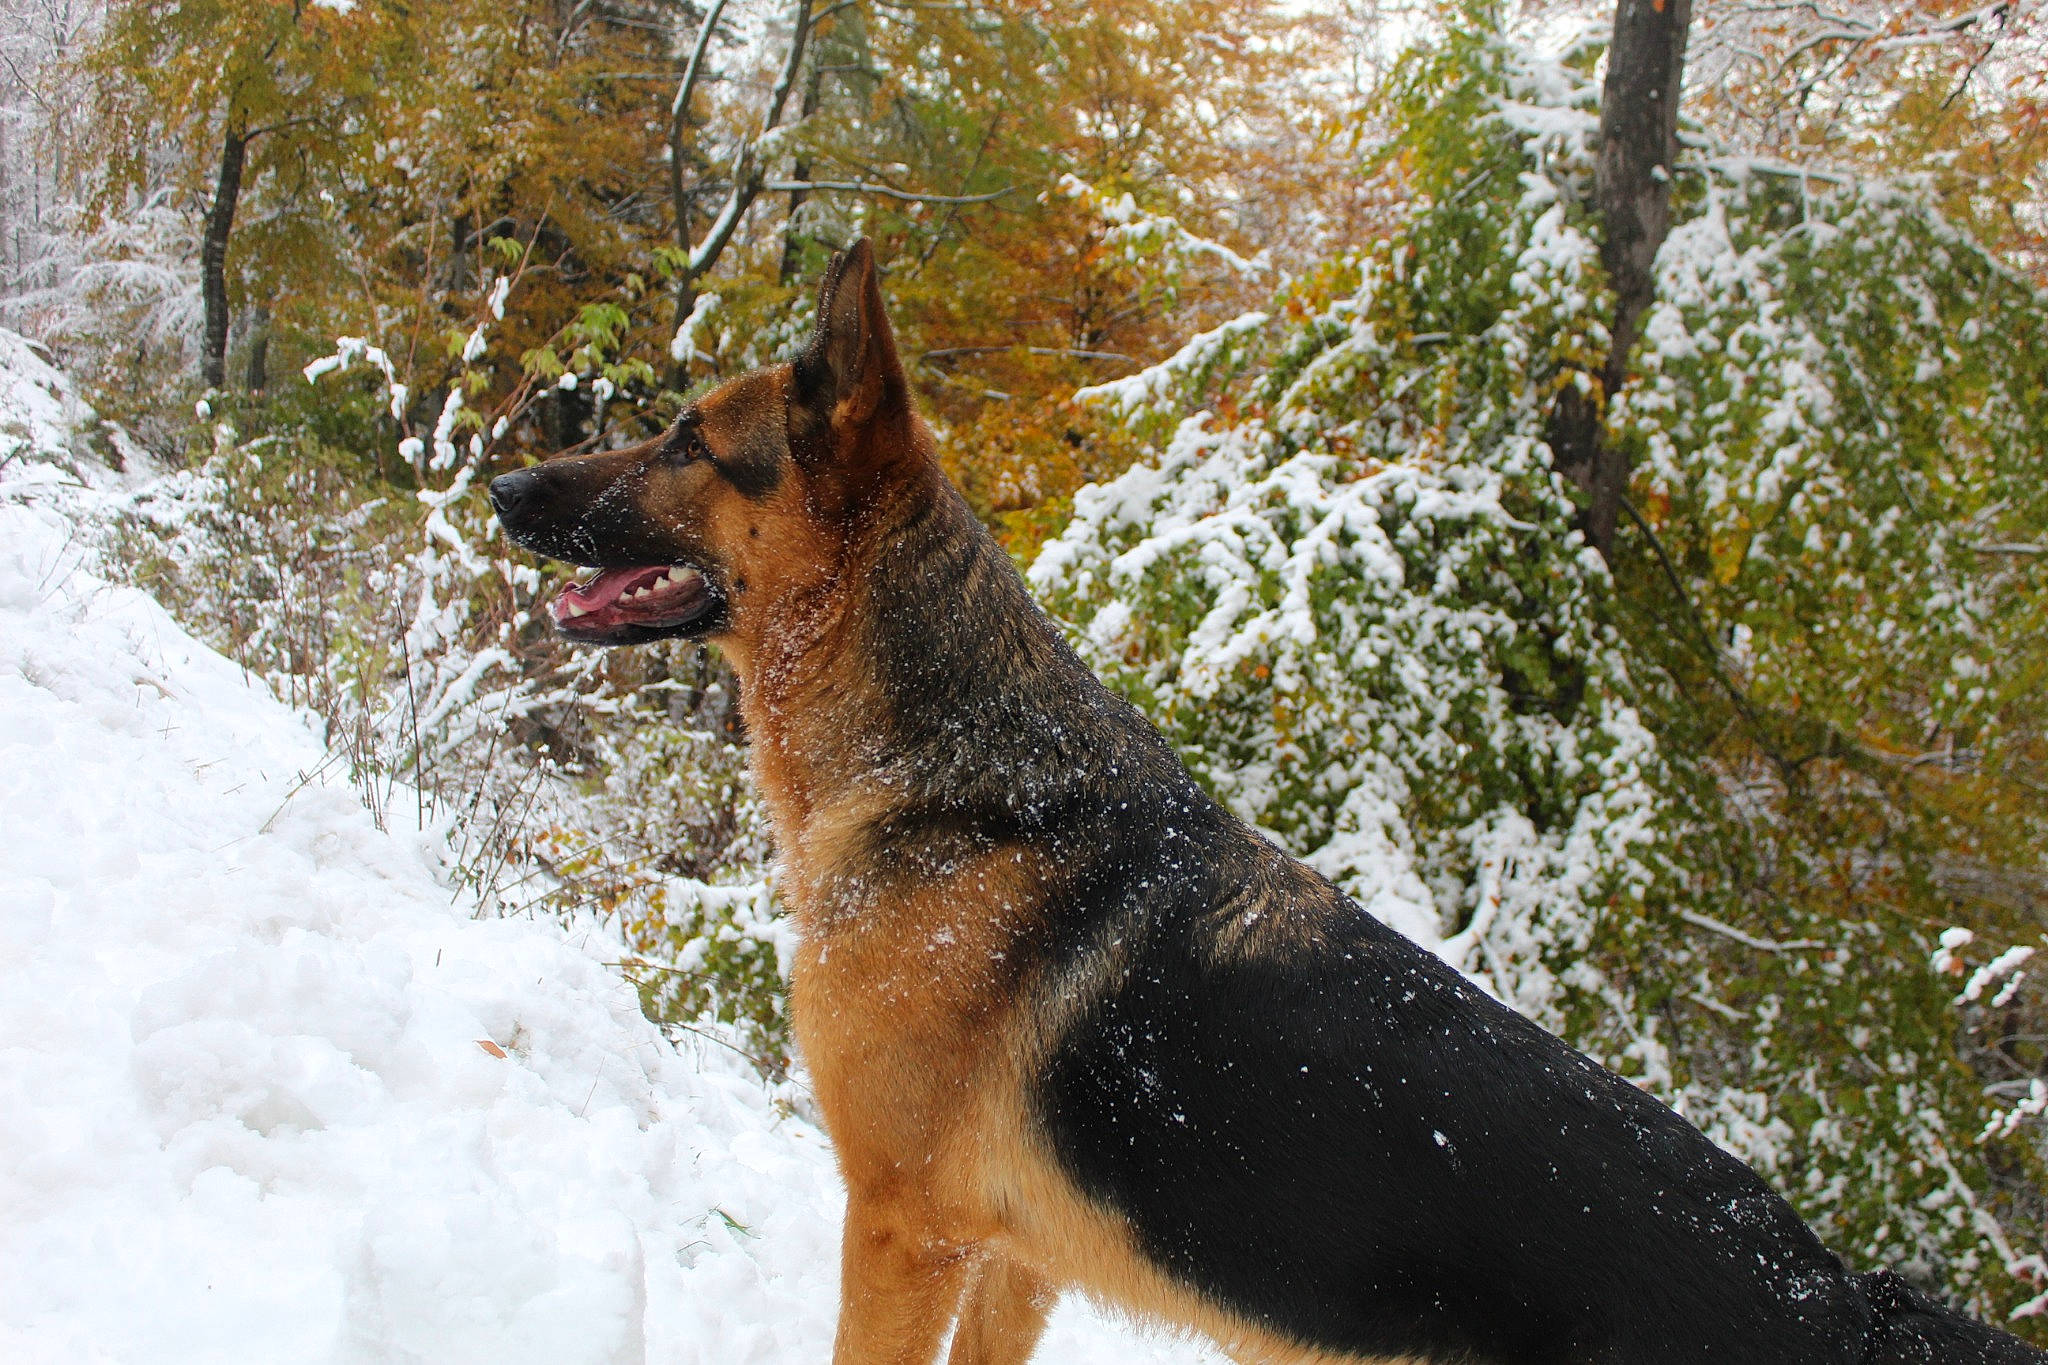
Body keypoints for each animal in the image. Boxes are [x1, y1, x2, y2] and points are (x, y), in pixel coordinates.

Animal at [490, 240, 2044, 1364]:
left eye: (686, 441)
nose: (504, 483)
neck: (960, 768)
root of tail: (1831, 1292)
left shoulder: (899, 1231)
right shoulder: (1011, 1261)